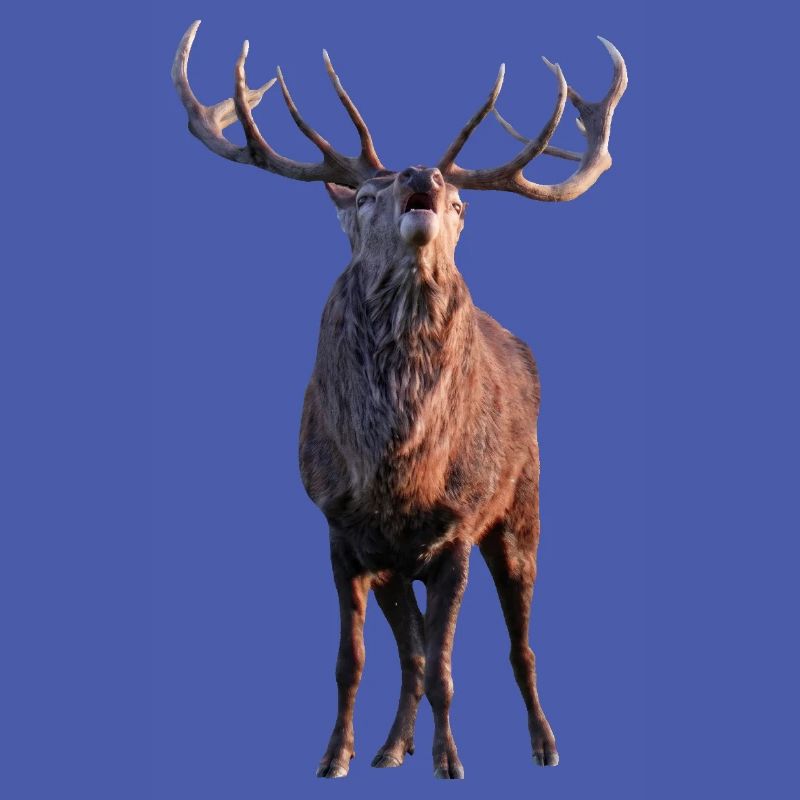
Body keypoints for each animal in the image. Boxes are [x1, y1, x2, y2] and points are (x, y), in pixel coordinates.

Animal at [172, 20, 627, 780]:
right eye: (364, 197)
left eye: (462, 206)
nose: (424, 176)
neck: (397, 470)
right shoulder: (343, 529)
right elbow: (353, 662)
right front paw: (337, 756)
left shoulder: (458, 529)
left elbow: (445, 665)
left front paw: (451, 761)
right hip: (397, 564)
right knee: (409, 650)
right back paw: (392, 747)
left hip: (522, 511)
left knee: (520, 642)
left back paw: (544, 743)